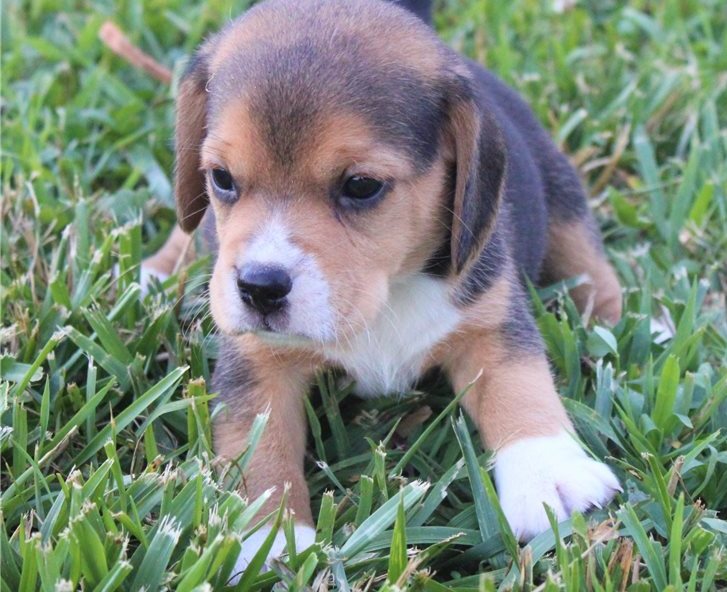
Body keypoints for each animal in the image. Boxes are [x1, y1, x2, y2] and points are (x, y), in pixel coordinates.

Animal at [145, 0, 624, 572]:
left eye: (361, 186)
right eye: (221, 179)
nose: (258, 288)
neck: (388, 290)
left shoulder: (490, 320)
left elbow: (520, 385)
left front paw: (547, 471)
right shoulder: (259, 359)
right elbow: (257, 445)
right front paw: (269, 539)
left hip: (558, 184)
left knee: (587, 254)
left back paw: (614, 320)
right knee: (185, 228)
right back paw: (158, 269)